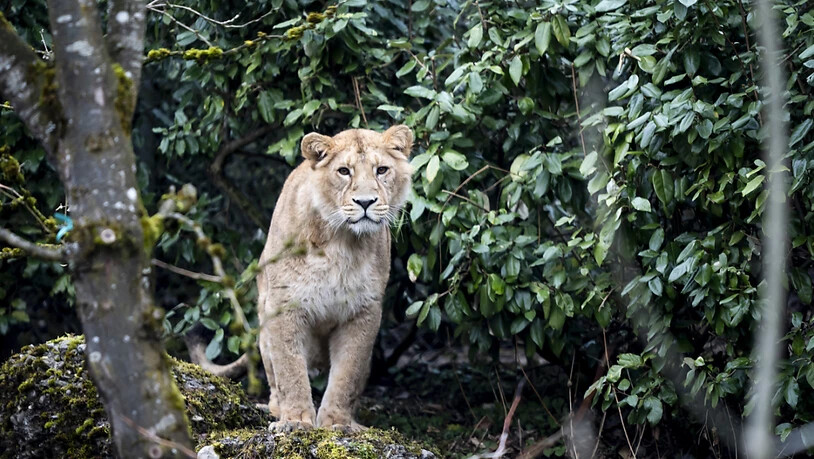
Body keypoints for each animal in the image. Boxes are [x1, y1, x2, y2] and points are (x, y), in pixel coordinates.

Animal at [256, 125, 414, 432]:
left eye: (381, 170)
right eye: (343, 171)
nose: (365, 202)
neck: (342, 242)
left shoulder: (364, 310)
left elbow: (347, 373)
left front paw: (336, 423)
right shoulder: (283, 303)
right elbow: (290, 369)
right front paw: (295, 420)